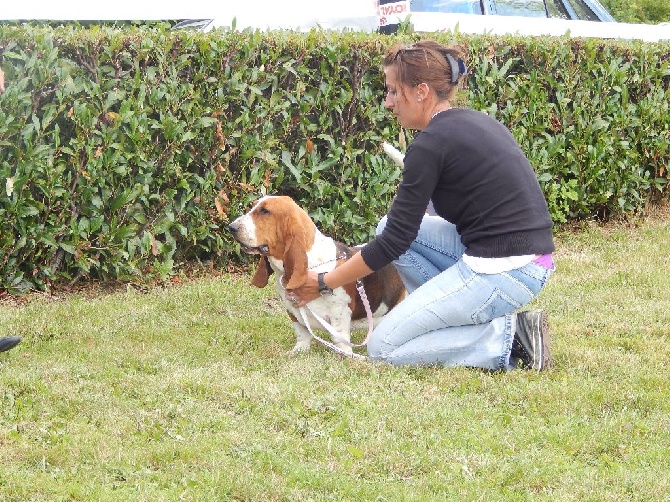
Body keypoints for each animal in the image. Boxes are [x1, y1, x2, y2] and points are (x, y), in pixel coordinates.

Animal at [228, 194, 406, 354]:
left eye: (265, 211)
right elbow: (302, 333)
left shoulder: (340, 312)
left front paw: (345, 354)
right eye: (252, 207)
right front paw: (299, 351)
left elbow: (340, 338)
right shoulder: (293, 311)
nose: (231, 227)